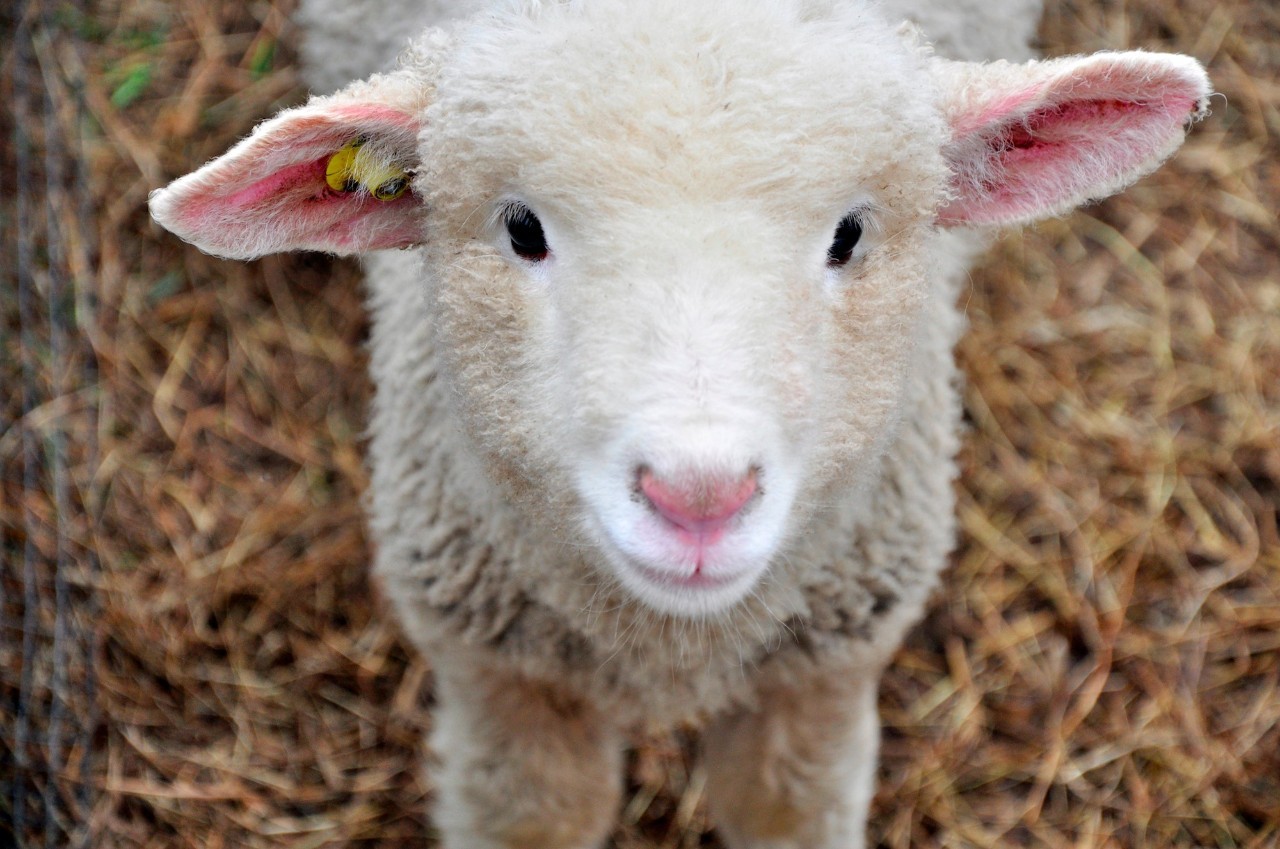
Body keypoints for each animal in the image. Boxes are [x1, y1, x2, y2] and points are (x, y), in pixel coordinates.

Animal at [149, 3, 1208, 845]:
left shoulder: (824, 675)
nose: (699, 496)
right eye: (521, 229)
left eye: (851, 234)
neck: (672, 646)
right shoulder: (499, 680)